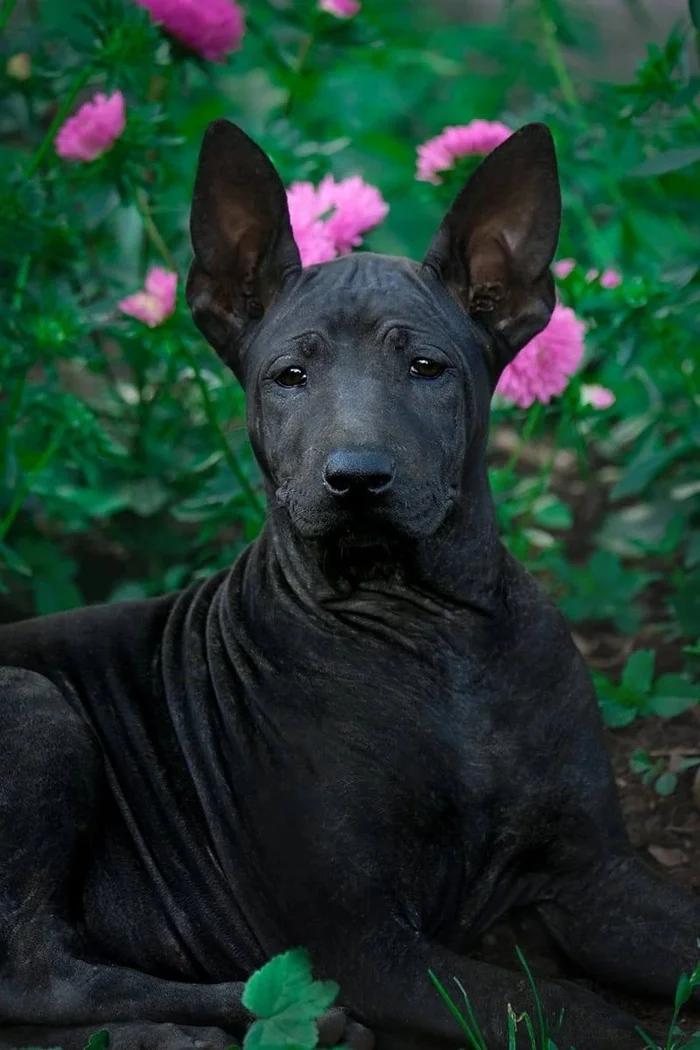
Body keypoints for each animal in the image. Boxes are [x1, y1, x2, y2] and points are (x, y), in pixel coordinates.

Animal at [1, 119, 700, 1045]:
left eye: (428, 368)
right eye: (289, 377)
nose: (357, 478)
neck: (432, 630)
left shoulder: (595, 876)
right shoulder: (361, 938)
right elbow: (553, 1004)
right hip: (37, 705)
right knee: (38, 978)